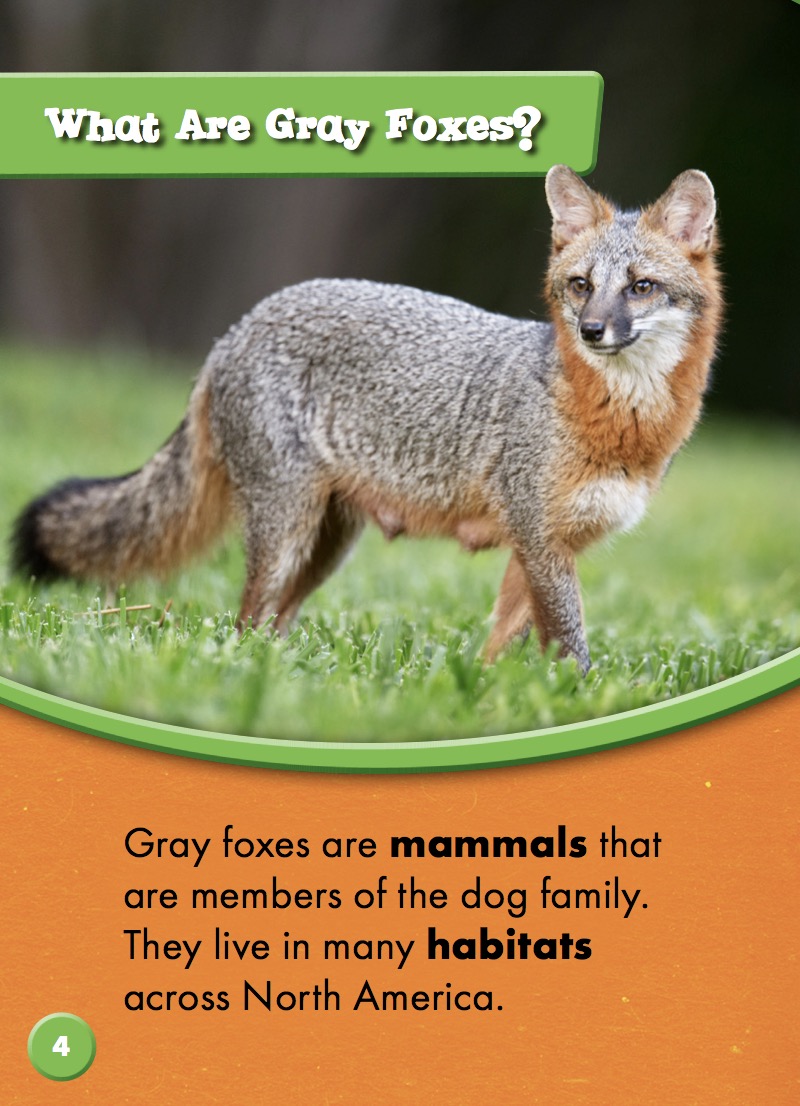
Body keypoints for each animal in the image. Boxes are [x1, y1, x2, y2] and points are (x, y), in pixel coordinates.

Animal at [11, 166, 721, 674]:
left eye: (641, 287)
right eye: (581, 286)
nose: (592, 330)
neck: (623, 426)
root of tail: (233, 333)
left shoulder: (545, 549)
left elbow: (505, 644)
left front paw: (494, 698)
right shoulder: (540, 540)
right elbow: (571, 645)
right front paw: (573, 700)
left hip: (325, 546)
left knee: (269, 626)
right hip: (286, 533)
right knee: (244, 622)